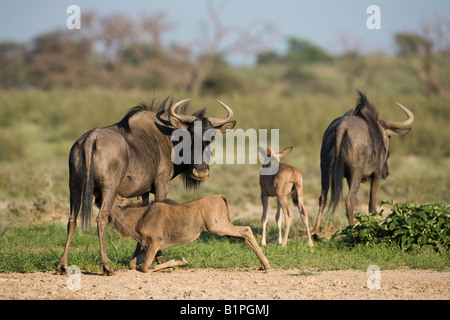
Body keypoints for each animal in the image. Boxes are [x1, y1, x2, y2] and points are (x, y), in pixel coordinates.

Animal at [109, 195, 270, 272]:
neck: (138, 218)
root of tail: (220, 197)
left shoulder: (155, 244)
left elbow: (145, 268)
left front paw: (178, 262)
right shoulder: (147, 246)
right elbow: (133, 264)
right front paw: (169, 268)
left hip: (218, 227)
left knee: (246, 230)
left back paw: (267, 266)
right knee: (244, 236)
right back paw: (263, 265)